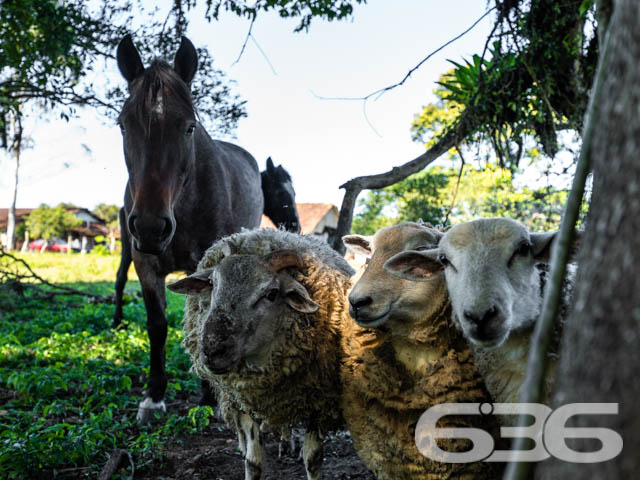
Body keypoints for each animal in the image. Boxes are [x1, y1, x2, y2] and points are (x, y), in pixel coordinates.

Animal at [112, 35, 262, 422]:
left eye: (189, 127)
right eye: (123, 124)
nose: (150, 226)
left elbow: (204, 320)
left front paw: (208, 397)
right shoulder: (145, 263)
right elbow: (157, 325)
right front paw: (153, 395)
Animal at [168, 230, 352, 480]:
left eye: (271, 293)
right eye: (212, 284)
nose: (212, 349)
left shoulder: (321, 401)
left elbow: (313, 459)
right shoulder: (243, 400)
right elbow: (253, 462)